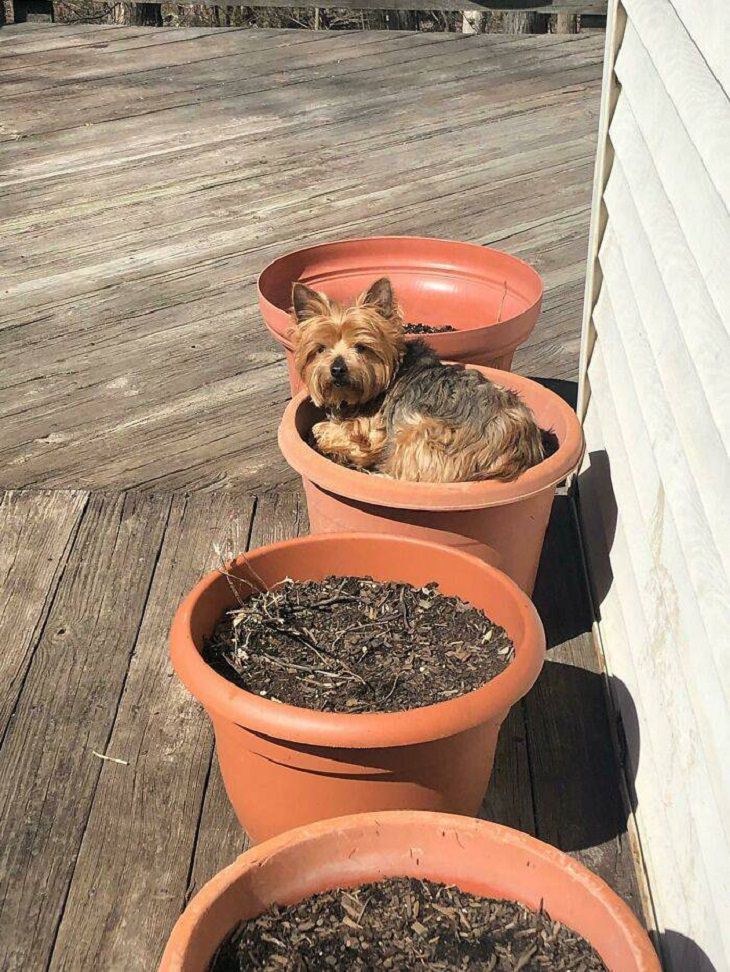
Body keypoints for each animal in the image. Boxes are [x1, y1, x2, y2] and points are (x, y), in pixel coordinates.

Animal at [288, 278, 544, 482]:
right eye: (321, 349)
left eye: (361, 347)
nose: (337, 369)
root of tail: (517, 445)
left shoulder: (373, 434)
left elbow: (322, 429)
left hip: (417, 433)